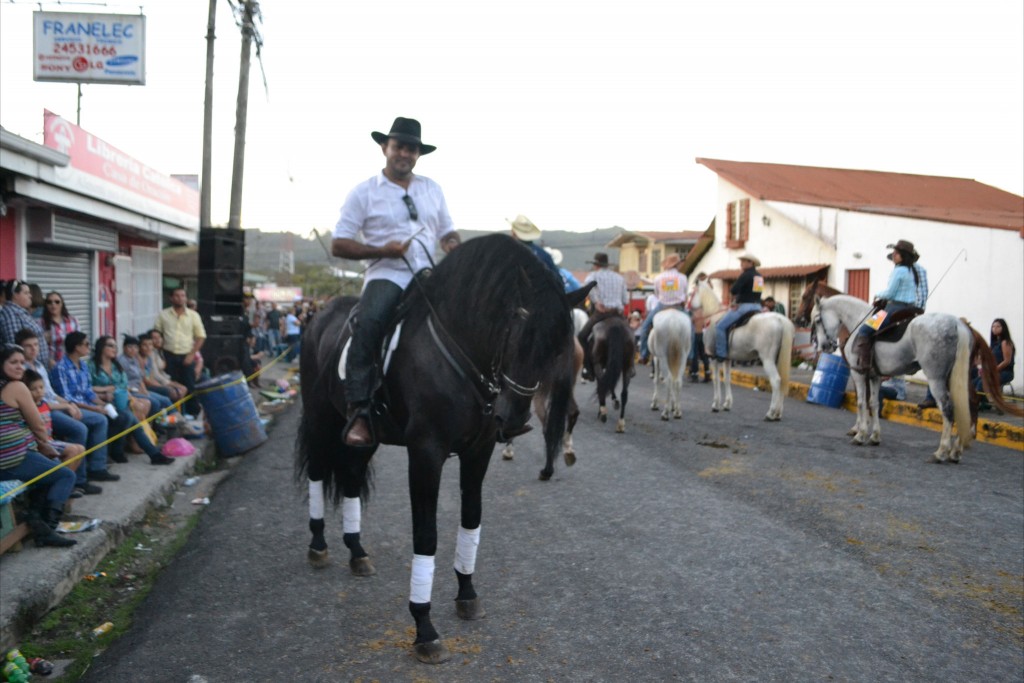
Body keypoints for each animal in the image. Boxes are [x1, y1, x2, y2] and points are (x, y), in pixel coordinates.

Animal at [296, 233, 589, 663]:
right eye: (517, 331)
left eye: (557, 347)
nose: (512, 418)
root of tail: (320, 314)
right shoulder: (426, 453)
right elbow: (427, 535)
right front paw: (425, 628)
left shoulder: (478, 451)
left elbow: (471, 519)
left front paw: (467, 594)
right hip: (320, 418)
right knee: (318, 471)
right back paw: (318, 546)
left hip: (363, 436)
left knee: (350, 475)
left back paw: (357, 552)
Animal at [700, 278, 794, 421]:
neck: (714, 318)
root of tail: (780, 319)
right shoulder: (727, 359)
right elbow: (727, 379)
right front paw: (727, 404)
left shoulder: (713, 357)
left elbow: (716, 379)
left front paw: (716, 405)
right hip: (779, 359)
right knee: (782, 380)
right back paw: (778, 414)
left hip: (767, 359)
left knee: (776, 381)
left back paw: (770, 413)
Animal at [806, 294, 983, 464]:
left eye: (817, 320)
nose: (824, 346)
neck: (858, 319)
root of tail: (957, 324)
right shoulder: (875, 376)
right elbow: (874, 404)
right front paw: (874, 436)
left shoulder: (858, 373)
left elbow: (861, 402)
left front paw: (861, 435)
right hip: (956, 378)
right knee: (967, 406)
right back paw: (956, 451)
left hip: (936, 378)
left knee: (948, 409)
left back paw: (941, 453)